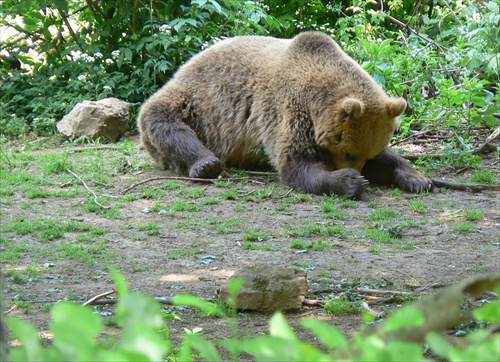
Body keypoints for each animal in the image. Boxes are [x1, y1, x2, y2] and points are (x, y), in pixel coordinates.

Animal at [138, 31, 434, 198]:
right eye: (349, 152)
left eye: (366, 155)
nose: (358, 169)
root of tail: (185, 65)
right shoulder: (287, 110)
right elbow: (295, 163)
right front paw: (349, 181)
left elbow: (390, 158)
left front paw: (417, 178)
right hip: (196, 103)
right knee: (164, 122)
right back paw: (204, 164)